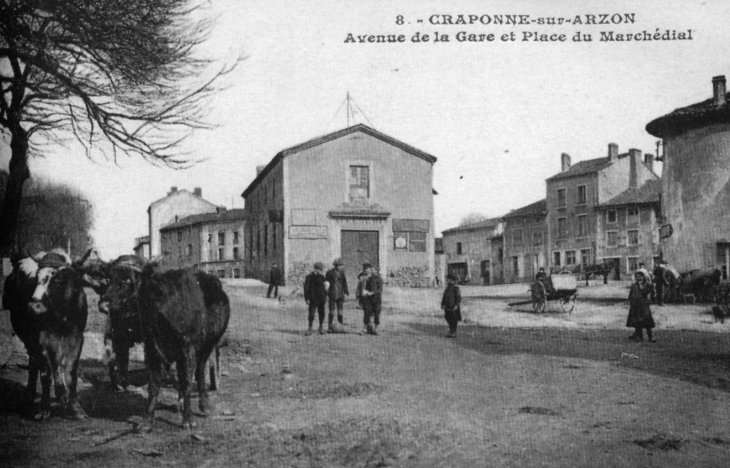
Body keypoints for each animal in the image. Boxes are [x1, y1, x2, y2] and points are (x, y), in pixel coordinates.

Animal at [1, 250, 90, 418]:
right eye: (36, 279)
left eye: (58, 280)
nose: (34, 306)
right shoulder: (39, 339)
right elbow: (45, 372)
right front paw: (44, 408)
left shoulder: (77, 337)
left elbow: (70, 371)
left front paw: (75, 407)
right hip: (28, 338)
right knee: (35, 362)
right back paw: (30, 395)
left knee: (55, 364)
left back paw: (62, 397)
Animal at [99, 262, 229, 430]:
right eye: (108, 280)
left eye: (126, 282)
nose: (103, 304)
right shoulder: (151, 349)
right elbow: (154, 385)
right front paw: (147, 421)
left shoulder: (188, 348)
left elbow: (187, 382)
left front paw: (188, 419)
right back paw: (181, 402)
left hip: (209, 345)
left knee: (199, 372)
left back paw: (204, 405)